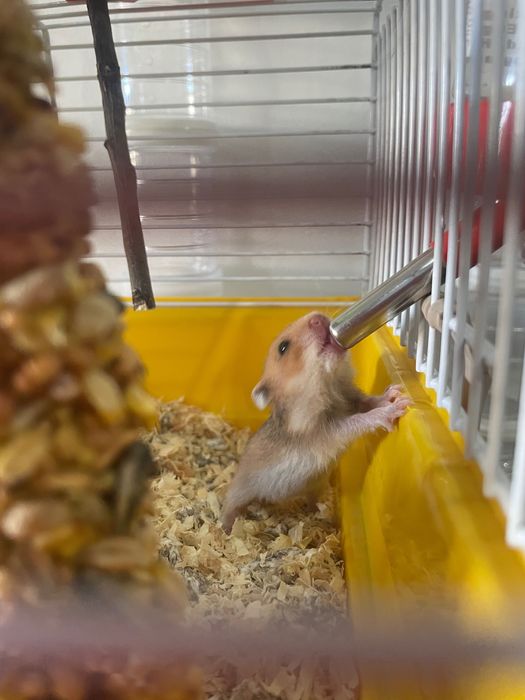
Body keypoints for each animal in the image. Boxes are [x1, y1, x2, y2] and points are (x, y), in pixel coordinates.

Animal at [221, 312, 411, 534]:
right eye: (283, 347)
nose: (319, 316)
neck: (329, 386)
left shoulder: (352, 399)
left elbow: (369, 401)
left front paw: (395, 394)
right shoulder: (328, 432)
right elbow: (358, 420)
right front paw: (394, 409)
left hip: (315, 485)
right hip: (240, 490)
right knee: (230, 506)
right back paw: (226, 529)